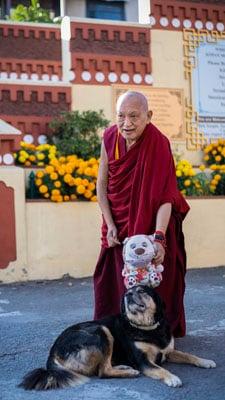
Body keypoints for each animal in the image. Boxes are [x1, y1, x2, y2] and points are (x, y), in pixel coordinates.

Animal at [19, 284, 216, 390]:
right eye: (127, 292)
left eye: (142, 291)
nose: (128, 294)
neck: (147, 327)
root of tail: (52, 352)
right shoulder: (144, 361)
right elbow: (160, 369)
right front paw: (172, 377)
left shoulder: (168, 351)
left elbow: (189, 356)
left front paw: (205, 361)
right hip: (101, 330)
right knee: (102, 371)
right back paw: (129, 372)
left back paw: (123, 367)